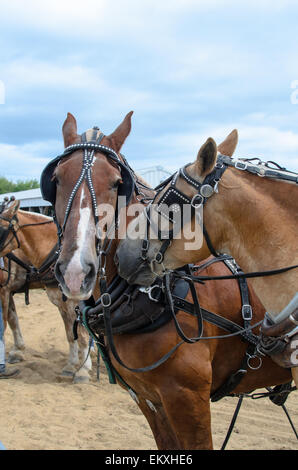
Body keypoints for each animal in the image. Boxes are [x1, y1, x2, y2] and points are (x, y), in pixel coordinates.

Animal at [0, 202, 92, 382]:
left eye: (0, 229)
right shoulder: (62, 303)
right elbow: (70, 334)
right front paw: (71, 366)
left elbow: (82, 336)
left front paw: (83, 370)